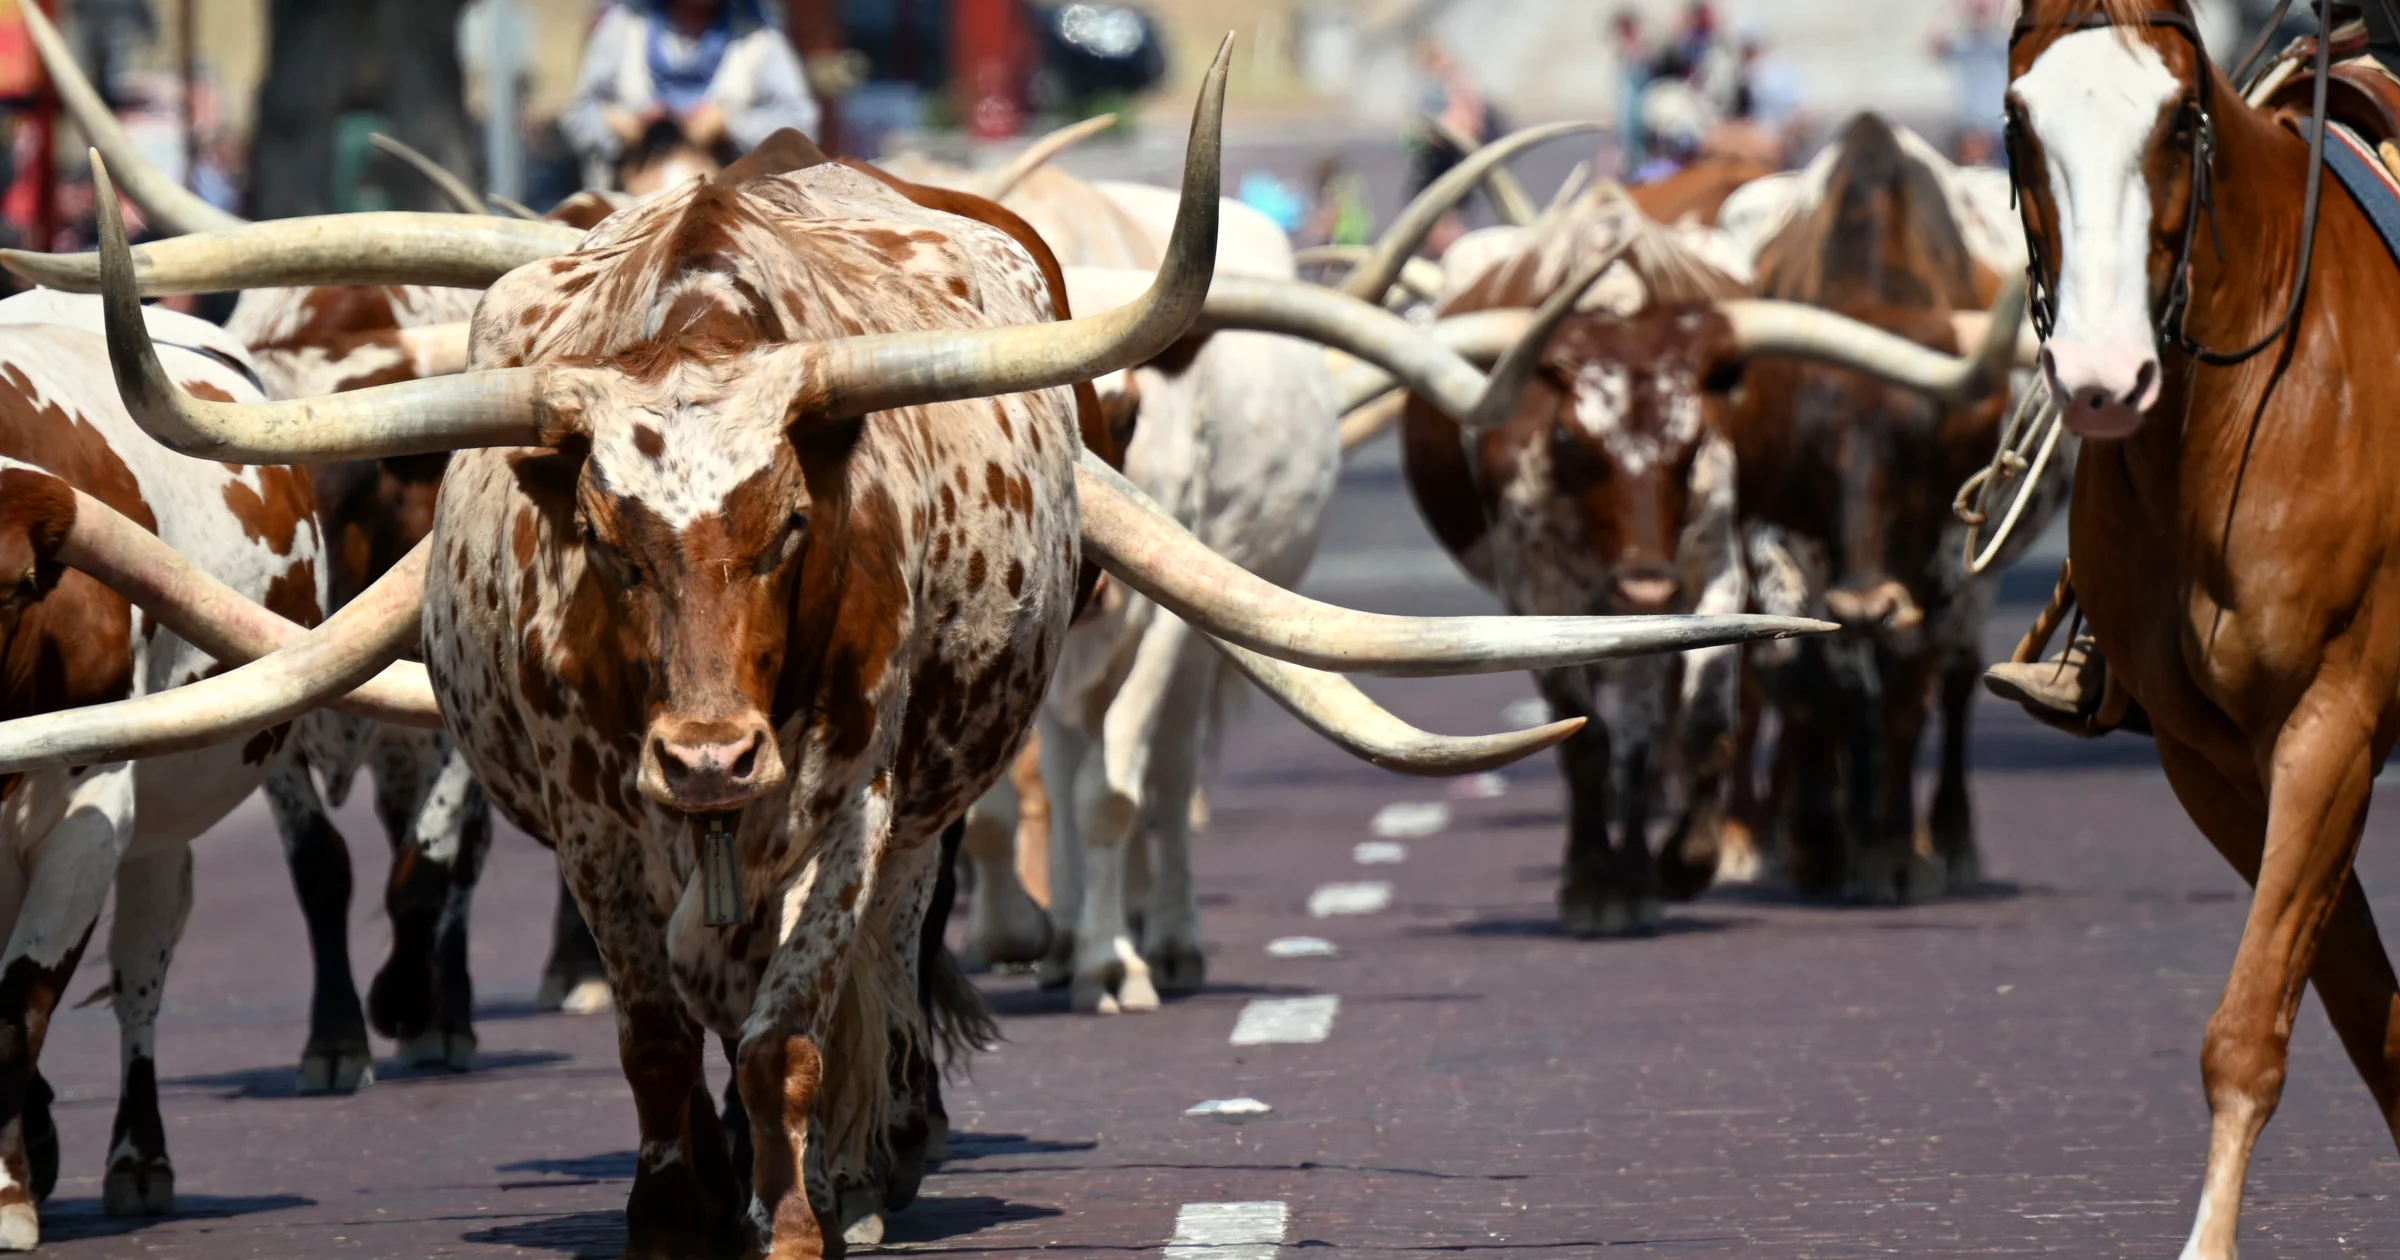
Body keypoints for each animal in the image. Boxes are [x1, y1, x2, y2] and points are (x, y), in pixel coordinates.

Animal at [0, 289, 325, 1248]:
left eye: (10, 589)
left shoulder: (90, 819)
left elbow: (17, 1006)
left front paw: (9, 1197)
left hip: (153, 836)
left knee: (142, 972)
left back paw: (137, 1159)